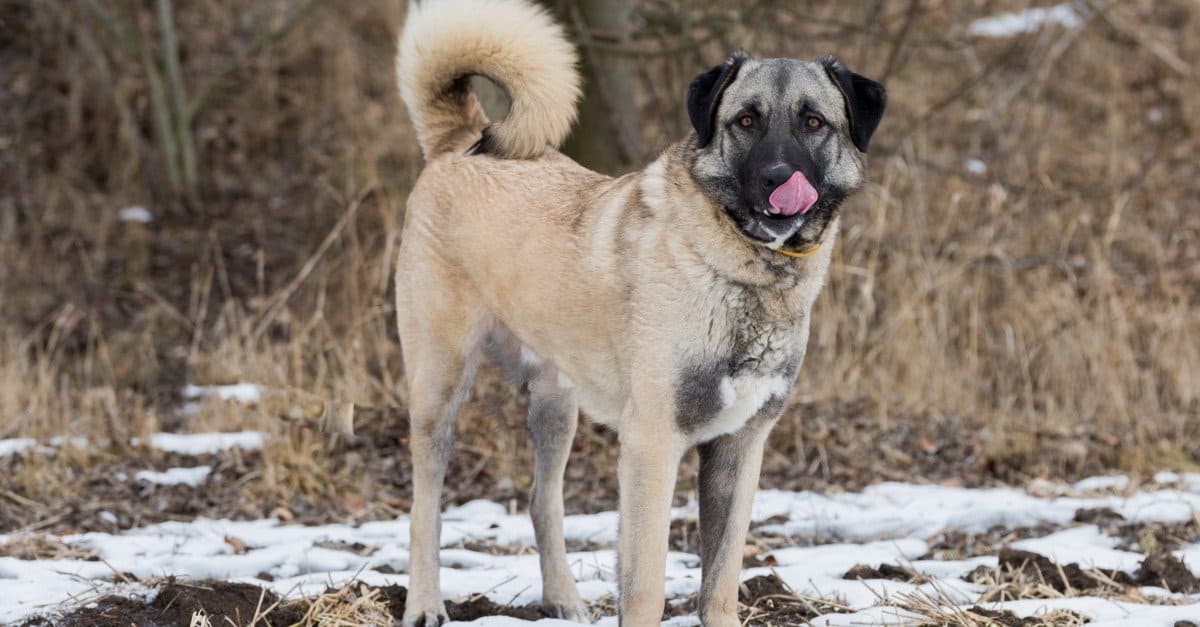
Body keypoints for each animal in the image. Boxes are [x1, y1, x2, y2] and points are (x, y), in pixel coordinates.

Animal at [391, 0, 883, 619]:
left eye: (814, 123)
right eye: (745, 122)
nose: (777, 178)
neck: (744, 272)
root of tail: (461, 141)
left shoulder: (739, 450)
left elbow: (720, 582)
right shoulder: (652, 444)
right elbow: (647, 584)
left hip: (556, 405)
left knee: (543, 501)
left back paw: (564, 600)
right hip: (440, 388)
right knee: (424, 508)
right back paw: (424, 604)